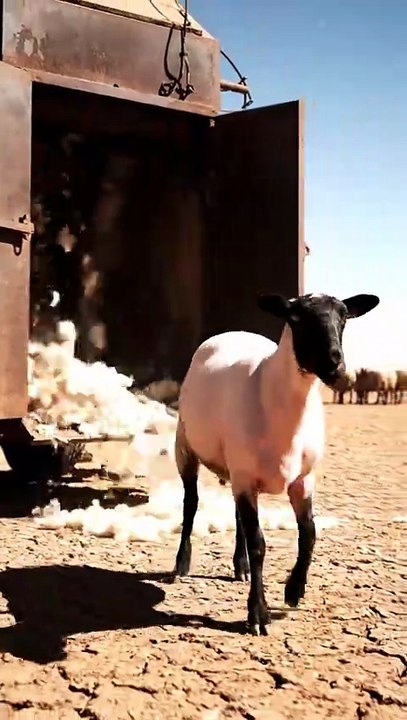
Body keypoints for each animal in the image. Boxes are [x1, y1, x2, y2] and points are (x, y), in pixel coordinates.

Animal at [173, 291, 380, 635]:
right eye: (295, 317)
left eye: (344, 317)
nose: (335, 365)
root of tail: (232, 333)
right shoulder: (245, 477)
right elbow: (259, 544)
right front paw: (258, 613)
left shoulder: (302, 480)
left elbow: (309, 534)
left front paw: (294, 590)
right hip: (185, 447)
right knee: (190, 504)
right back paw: (181, 563)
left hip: (237, 469)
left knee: (237, 517)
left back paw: (240, 567)